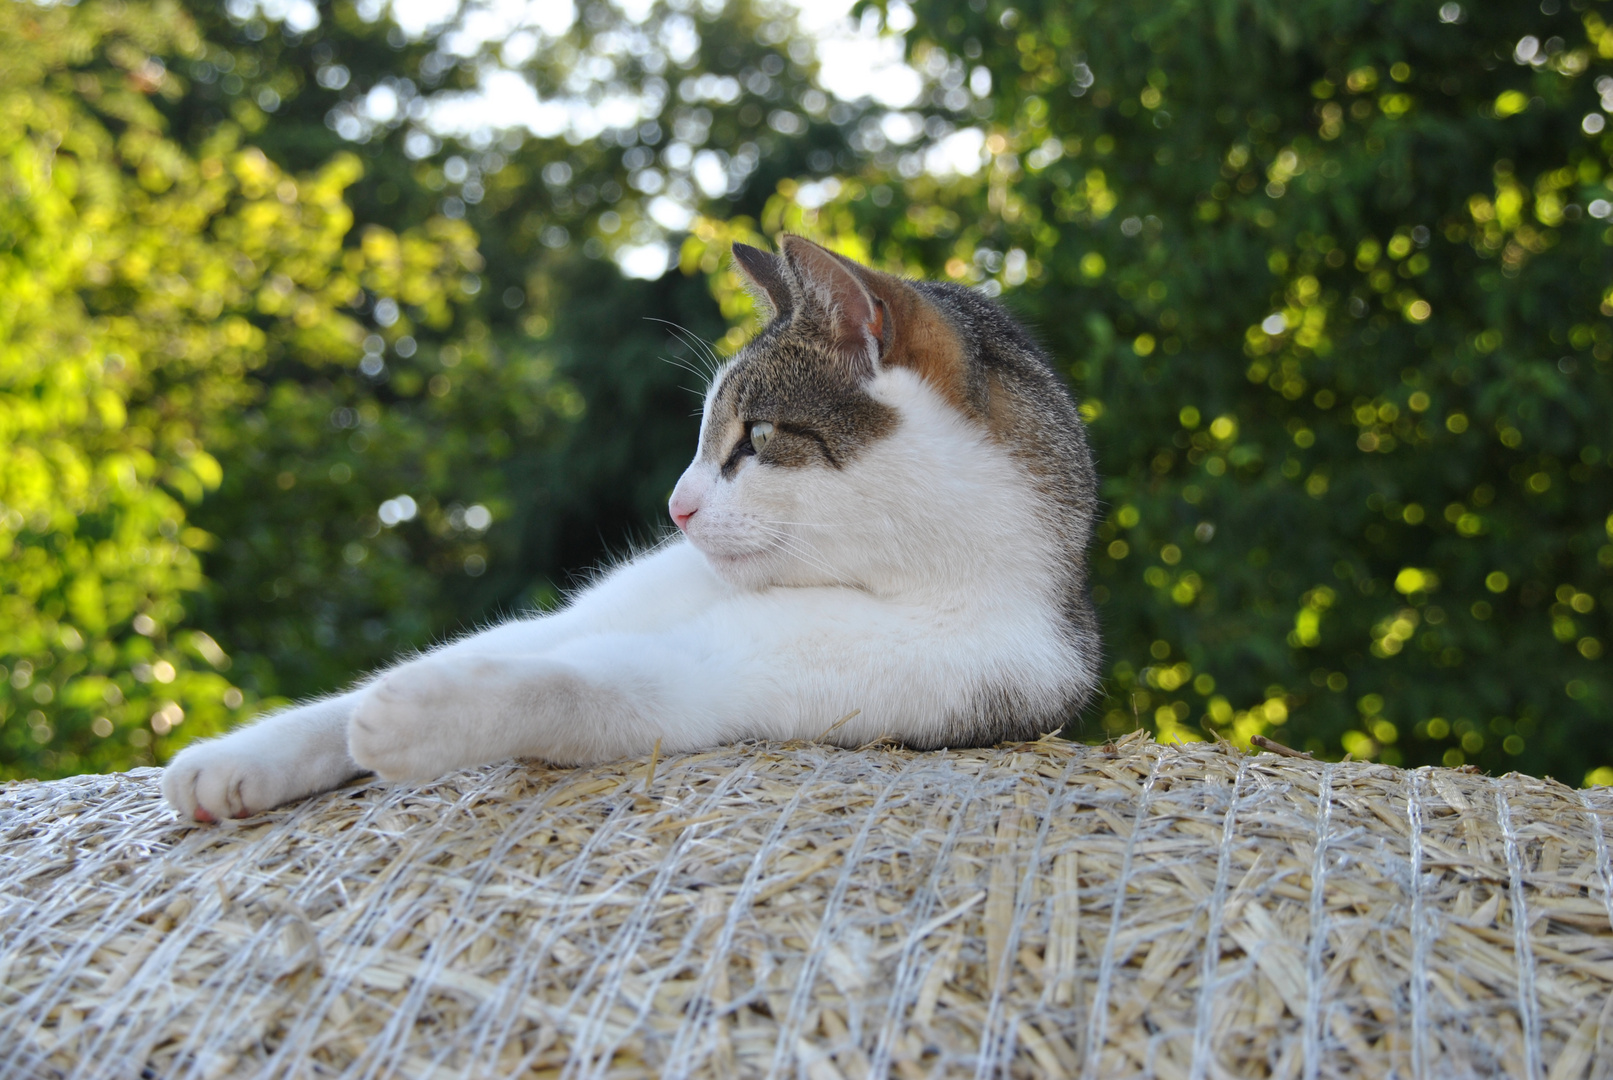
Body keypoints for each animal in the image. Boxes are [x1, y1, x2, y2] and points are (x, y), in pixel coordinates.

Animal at [160, 236, 1096, 825]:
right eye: (704, 435)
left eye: (757, 438)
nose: (676, 509)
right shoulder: (583, 616)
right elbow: (407, 674)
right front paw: (247, 756)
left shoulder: (723, 688)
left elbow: (576, 686)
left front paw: (418, 717)